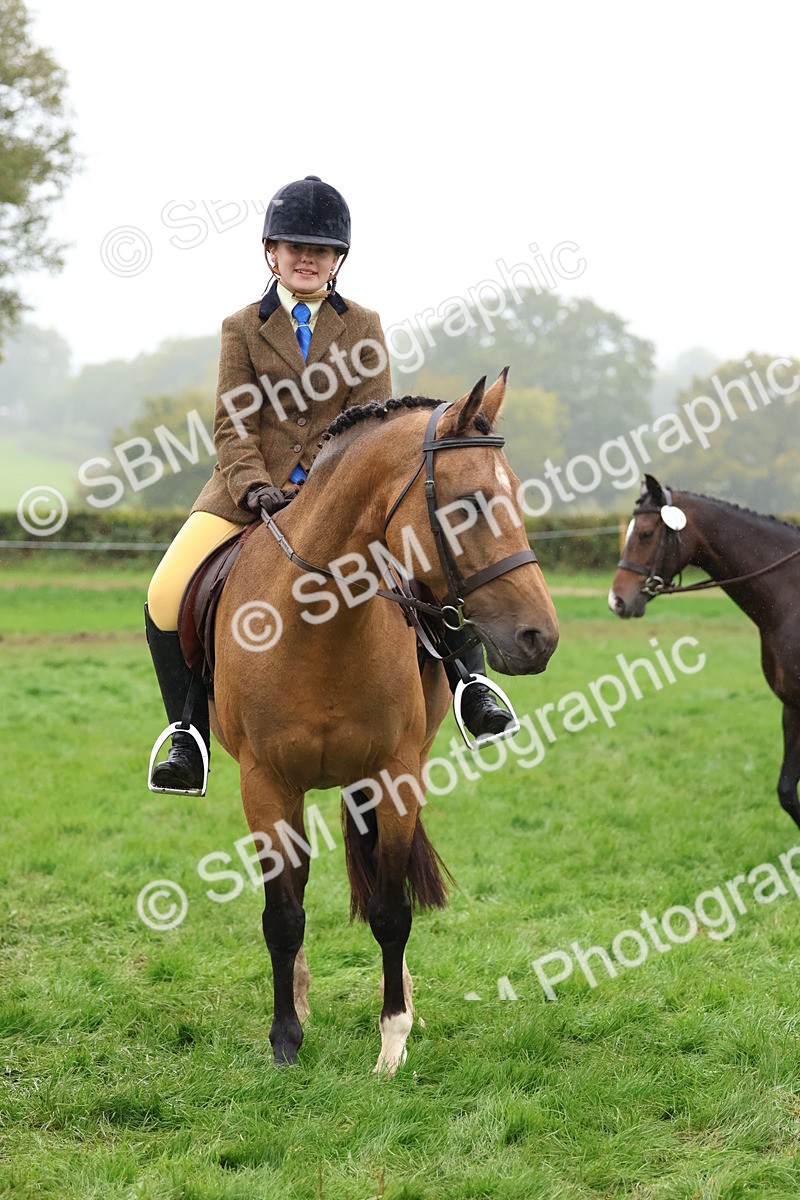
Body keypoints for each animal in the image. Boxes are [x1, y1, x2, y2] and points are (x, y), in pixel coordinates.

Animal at [209, 371, 560, 1073]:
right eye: (468, 505)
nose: (541, 637)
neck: (317, 627)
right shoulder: (265, 784)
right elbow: (282, 913)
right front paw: (285, 1038)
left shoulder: (394, 774)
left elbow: (391, 909)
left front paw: (393, 1038)